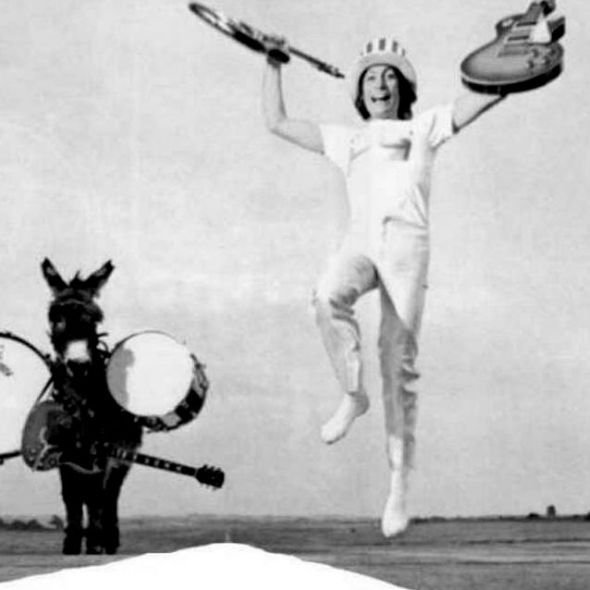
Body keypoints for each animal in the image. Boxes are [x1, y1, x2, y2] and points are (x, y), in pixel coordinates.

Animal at [40, 258, 143, 555]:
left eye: (95, 319)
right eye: (55, 317)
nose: (78, 366)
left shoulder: (105, 450)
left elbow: (99, 494)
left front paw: (96, 543)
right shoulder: (65, 452)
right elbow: (72, 496)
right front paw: (73, 543)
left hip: (123, 454)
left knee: (110, 493)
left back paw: (108, 538)